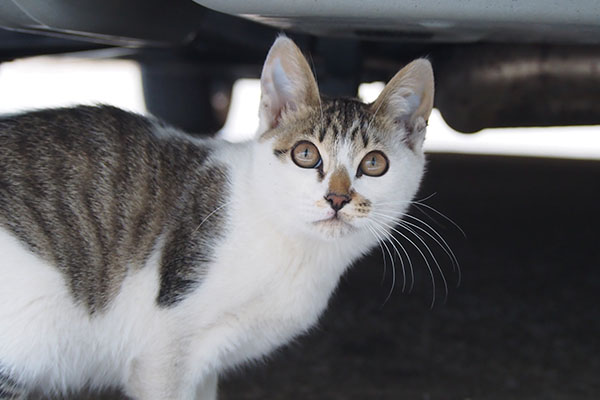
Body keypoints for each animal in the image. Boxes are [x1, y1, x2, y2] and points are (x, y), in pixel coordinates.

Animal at [0, 36, 432, 398]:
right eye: (306, 154)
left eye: (374, 164)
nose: (338, 198)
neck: (296, 246)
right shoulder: (161, 356)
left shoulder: (203, 364)